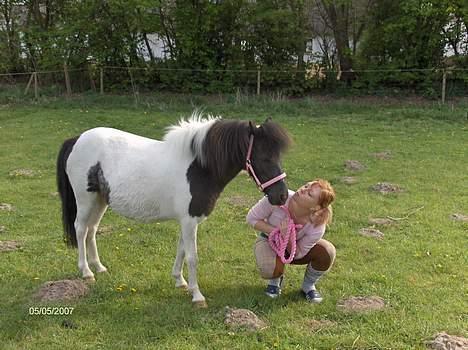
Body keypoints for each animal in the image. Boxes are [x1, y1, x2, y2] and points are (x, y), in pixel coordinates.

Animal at [56, 112, 290, 306]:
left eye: (278, 157)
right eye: (264, 158)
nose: (282, 196)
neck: (200, 167)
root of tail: (76, 139)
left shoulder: (187, 221)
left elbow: (182, 250)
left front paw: (180, 281)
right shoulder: (189, 221)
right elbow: (193, 257)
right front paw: (197, 296)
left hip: (100, 201)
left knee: (92, 230)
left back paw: (99, 267)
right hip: (85, 200)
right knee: (81, 229)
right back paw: (86, 272)